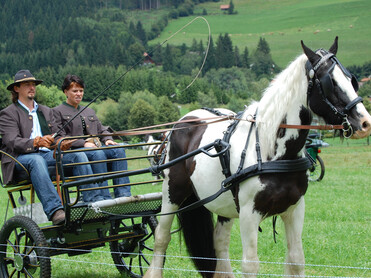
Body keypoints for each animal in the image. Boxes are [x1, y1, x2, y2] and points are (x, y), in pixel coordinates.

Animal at [144, 37, 371, 278]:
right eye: (331, 83)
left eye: (351, 80)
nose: (365, 123)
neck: (272, 150)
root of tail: (183, 121)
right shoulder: (249, 214)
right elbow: (250, 264)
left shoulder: (294, 209)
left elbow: (296, 260)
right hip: (173, 193)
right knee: (161, 237)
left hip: (223, 202)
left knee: (219, 241)